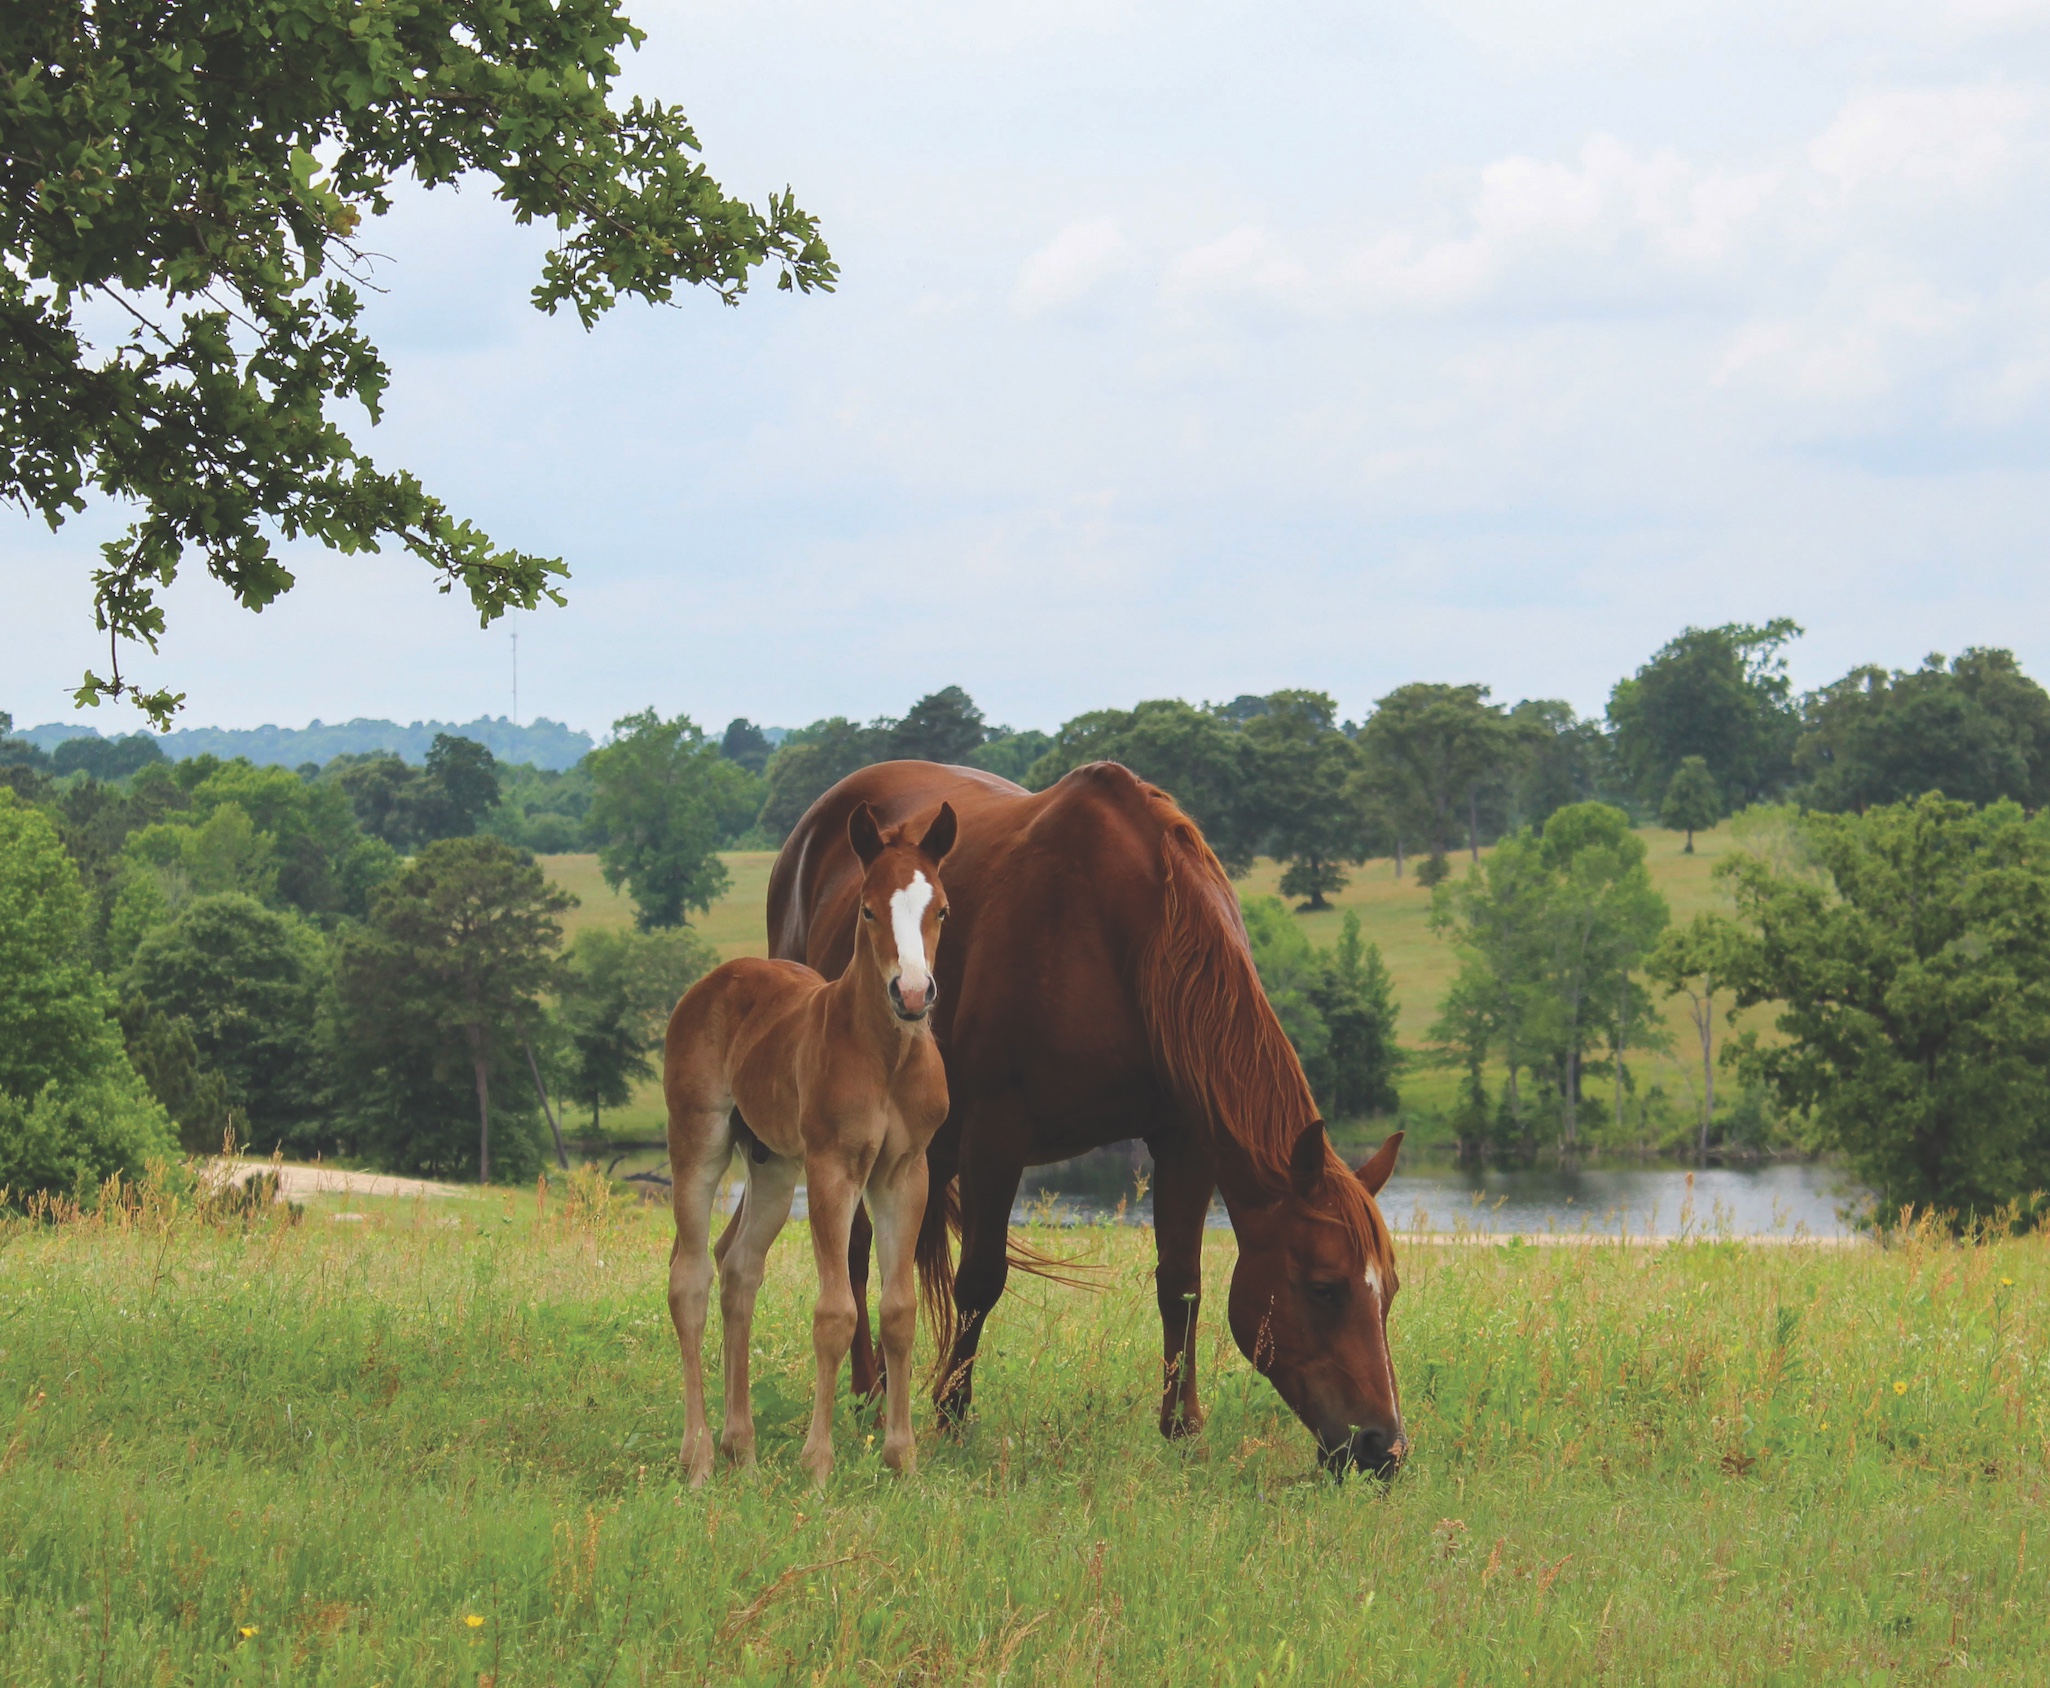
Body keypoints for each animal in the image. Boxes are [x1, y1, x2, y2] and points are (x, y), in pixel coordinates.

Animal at [663, 800, 957, 1486]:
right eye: (868, 909)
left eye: (941, 909)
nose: (912, 993)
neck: (886, 1057)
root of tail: (715, 980)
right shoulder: (833, 1168)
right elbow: (836, 1313)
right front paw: (818, 1464)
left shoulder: (906, 1173)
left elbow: (898, 1312)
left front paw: (902, 1460)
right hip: (698, 1143)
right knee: (689, 1280)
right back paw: (700, 1456)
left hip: (772, 1167)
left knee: (739, 1269)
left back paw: (743, 1449)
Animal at [767, 760, 1406, 1476]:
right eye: (1325, 1288)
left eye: (1390, 1290)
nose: (1383, 1445)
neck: (1124, 933)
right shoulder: (997, 1133)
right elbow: (979, 1278)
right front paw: (952, 1417)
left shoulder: (1185, 1139)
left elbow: (1181, 1283)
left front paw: (1182, 1427)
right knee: (850, 1255)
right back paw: (868, 1397)